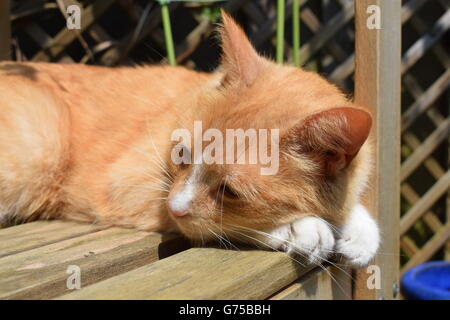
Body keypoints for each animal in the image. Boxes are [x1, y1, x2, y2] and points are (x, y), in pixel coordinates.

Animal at [0, 12, 380, 266]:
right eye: (182, 154)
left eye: (229, 191)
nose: (175, 207)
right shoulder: (130, 184)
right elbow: (227, 227)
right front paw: (306, 228)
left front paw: (358, 229)